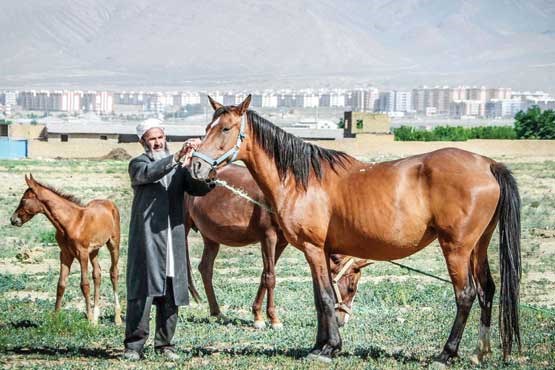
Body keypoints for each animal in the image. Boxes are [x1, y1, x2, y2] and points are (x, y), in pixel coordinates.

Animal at [10, 175, 121, 326]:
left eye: (23, 200)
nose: (13, 219)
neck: (71, 222)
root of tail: (109, 202)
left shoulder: (82, 254)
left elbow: (84, 285)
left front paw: (89, 319)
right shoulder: (65, 254)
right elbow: (61, 284)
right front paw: (56, 318)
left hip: (113, 244)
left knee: (113, 273)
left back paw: (117, 318)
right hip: (94, 251)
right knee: (97, 275)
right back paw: (96, 316)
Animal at [185, 165, 372, 330]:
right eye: (351, 287)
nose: (342, 321)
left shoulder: (281, 242)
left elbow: (265, 275)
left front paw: (258, 316)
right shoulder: (268, 237)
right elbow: (270, 278)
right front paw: (273, 320)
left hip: (210, 238)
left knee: (205, 268)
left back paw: (217, 313)